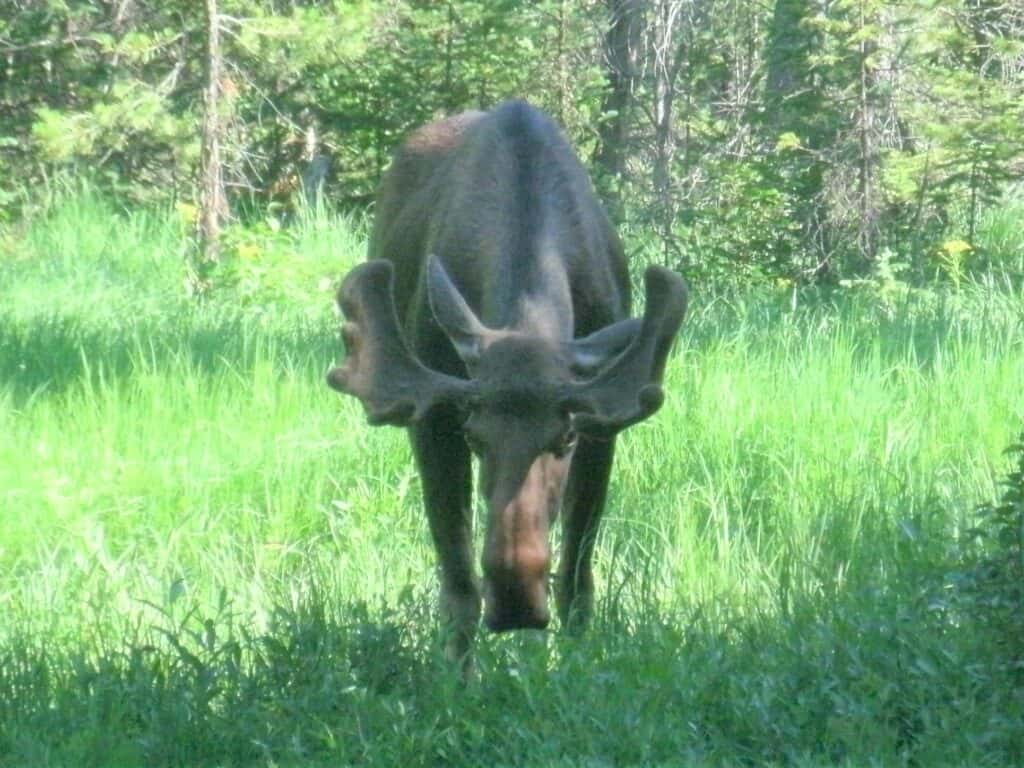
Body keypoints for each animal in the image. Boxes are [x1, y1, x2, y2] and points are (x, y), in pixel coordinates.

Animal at [327, 100, 688, 667]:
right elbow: (458, 585)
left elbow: (577, 580)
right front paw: (457, 676)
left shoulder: (605, 423)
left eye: (566, 437)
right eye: (474, 435)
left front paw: (574, 666)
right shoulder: (432, 419)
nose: (517, 601)